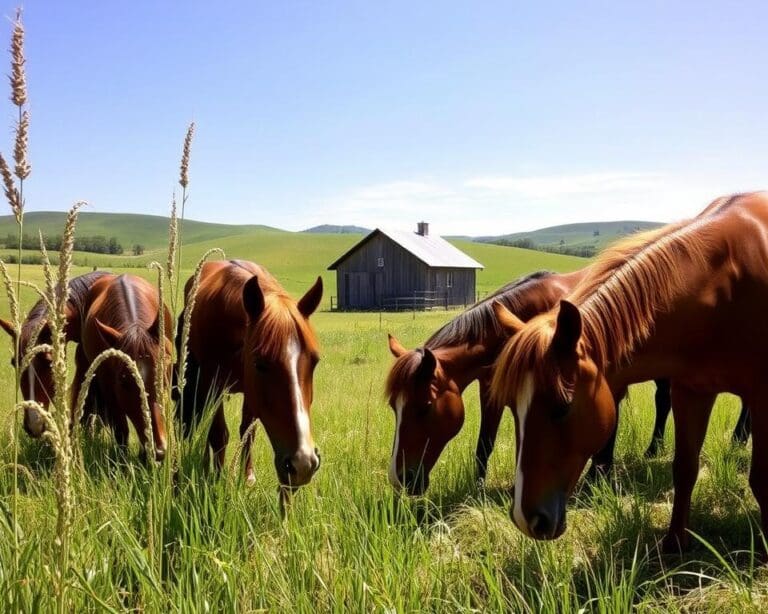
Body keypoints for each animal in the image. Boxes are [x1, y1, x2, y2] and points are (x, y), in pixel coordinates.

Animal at [178, 260, 324, 490]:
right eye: (260, 364)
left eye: (315, 362)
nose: (303, 463)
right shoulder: (213, 383)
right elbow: (218, 433)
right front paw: (217, 477)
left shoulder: (251, 392)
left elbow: (248, 433)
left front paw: (247, 477)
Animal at [384, 274, 752, 496]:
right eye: (394, 409)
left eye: (424, 407)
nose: (402, 479)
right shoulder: (492, 389)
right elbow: (484, 445)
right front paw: (477, 491)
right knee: (664, 401)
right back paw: (655, 449)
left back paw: (736, 439)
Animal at [492, 194, 768, 552]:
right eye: (514, 409)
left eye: (562, 407)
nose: (526, 519)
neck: (722, 289)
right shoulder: (691, 392)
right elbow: (685, 467)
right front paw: (674, 543)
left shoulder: (762, 396)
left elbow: (760, 479)